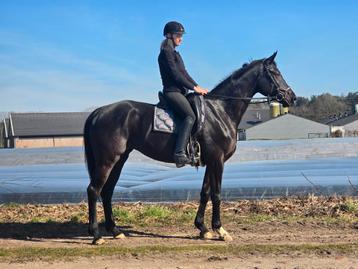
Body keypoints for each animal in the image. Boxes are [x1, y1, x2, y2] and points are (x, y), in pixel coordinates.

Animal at [84, 51, 296, 244]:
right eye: (274, 72)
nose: (292, 97)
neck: (220, 110)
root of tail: (99, 112)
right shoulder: (217, 160)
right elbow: (217, 194)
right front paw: (220, 230)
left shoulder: (210, 161)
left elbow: (205, 193)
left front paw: (202, 228)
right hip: (108, 160)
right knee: (94, 190)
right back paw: (96, 235)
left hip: (119, 159)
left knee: (107, 191)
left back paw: (115, 230)